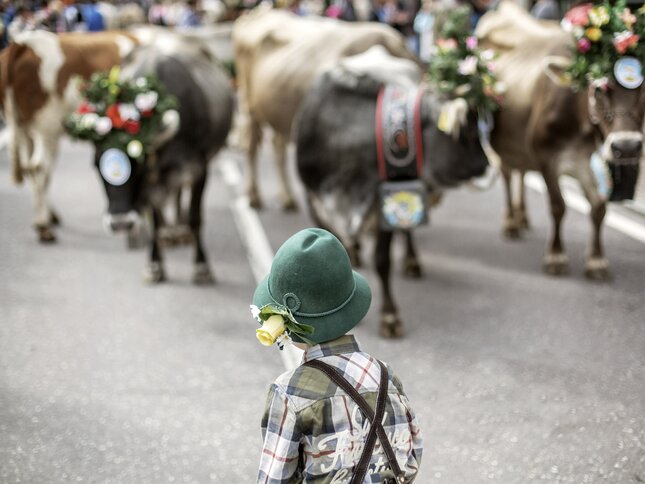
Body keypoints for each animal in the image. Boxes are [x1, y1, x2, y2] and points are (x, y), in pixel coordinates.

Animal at [0, 28, 137, 244]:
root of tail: (23, 42)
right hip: (46, 125)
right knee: (39, 167)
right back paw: (43, 227)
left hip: (26, 127)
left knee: (33, 168)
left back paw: (47, 217)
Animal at [86, 34, 234, 284]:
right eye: (96, 166)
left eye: (140, 166)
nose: (120, 223)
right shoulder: (151, 188)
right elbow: (154, 221)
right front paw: (155, 265)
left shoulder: (199, 169)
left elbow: (195, 217)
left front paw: (201, 266)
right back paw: (168, 232)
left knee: (179, 196)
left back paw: (178, 231)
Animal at [231, 5, 418, 210]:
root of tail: (259, 12)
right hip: (248, 101)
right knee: (251, 145)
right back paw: (254, 196)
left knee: (277, 147)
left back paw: (287, 198)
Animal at [296, 48, 488, 336]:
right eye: (465, 132)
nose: (485, 163)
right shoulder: (315, 200)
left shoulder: (383, 204)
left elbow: (382, 260)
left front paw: (389, 317)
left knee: (407, 229)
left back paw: (411, 261)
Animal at [476, 1, 640, 280]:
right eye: (599, 88)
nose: (627, 147)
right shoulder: (546, 156)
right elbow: (557, 205)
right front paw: (555, 256)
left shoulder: (584, 158)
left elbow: (599, 207)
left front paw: (596, 260)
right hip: (501, 142)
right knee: (508, 174)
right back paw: (510, 222)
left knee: (521, 172)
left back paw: (522, 217)